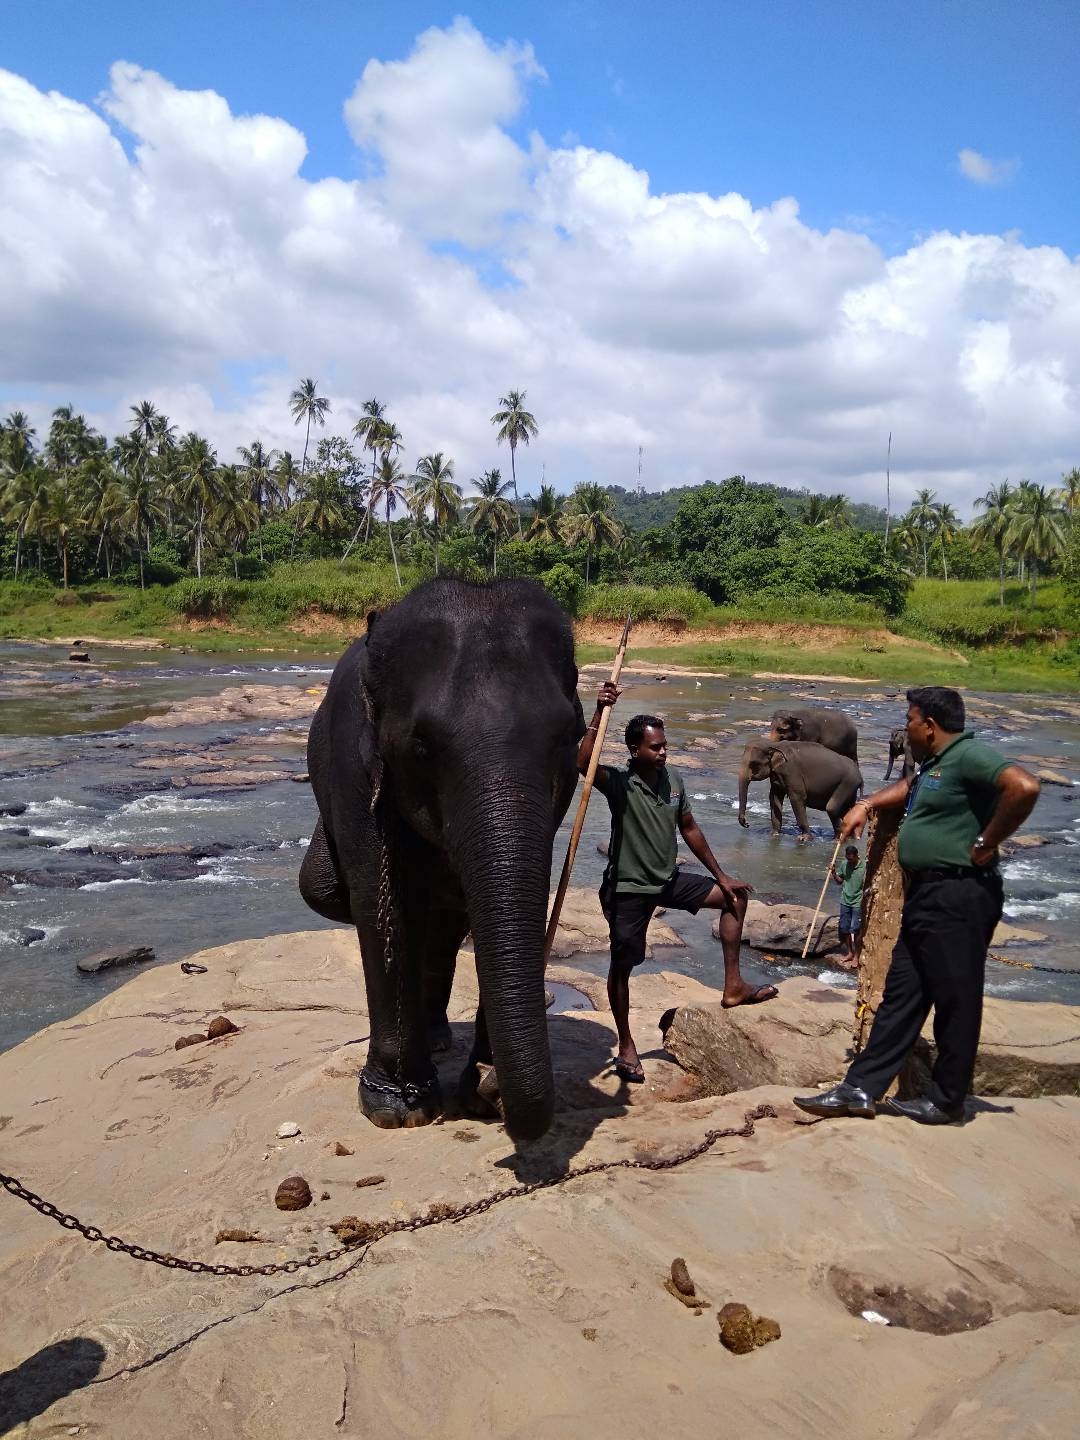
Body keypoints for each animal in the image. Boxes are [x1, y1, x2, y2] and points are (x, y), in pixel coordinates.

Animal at [300, 576, 584, 1146]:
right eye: (422, 745)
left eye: (568, 737)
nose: (492, 1086)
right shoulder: (354, 766)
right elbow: (382, 903)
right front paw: (397, 1108)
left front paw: (480, 1093)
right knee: (326, 890)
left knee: (447, 921)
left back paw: (439, 1042)